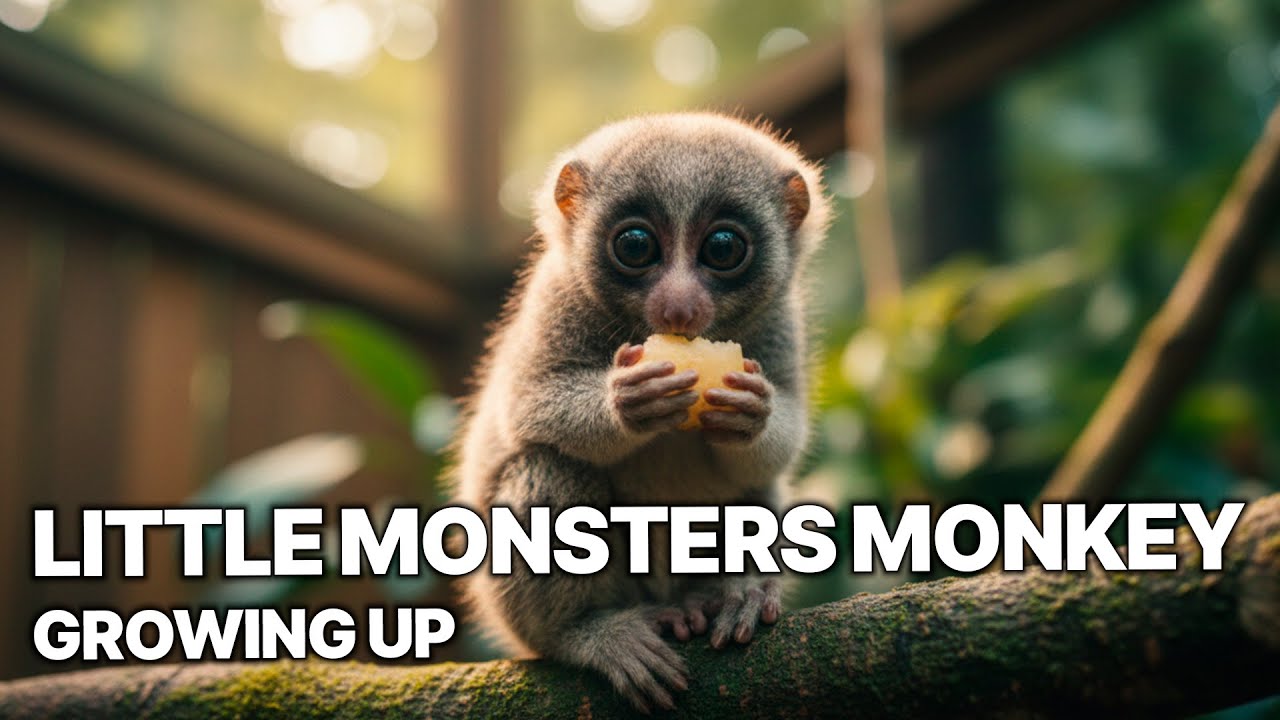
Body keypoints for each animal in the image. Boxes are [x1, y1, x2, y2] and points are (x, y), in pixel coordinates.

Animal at [451, 112, 830, 713]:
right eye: (635, 245)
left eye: (723, 247)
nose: (679, 308)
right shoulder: (556, 298)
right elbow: (527, 406)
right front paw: (628, 401)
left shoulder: (780, 320)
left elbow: (776, 449)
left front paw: (751, 413)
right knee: (550, 469)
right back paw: (590, 631)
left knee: (759, 493)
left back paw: (726, 596)